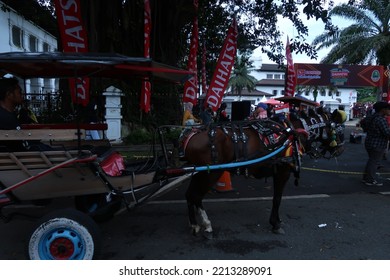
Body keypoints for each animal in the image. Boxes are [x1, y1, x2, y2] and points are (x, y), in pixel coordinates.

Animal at [181, 107, 344, 238]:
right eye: (339, 130)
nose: (341, 149)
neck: (293, 134)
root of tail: (191, 137)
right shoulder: (283, 172)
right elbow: (277, 199)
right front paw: (275, 223)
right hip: (210, 173)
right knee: (196, 195)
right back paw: (205, 225)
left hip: (198, 172)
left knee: (190, 195)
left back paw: (195, 224)